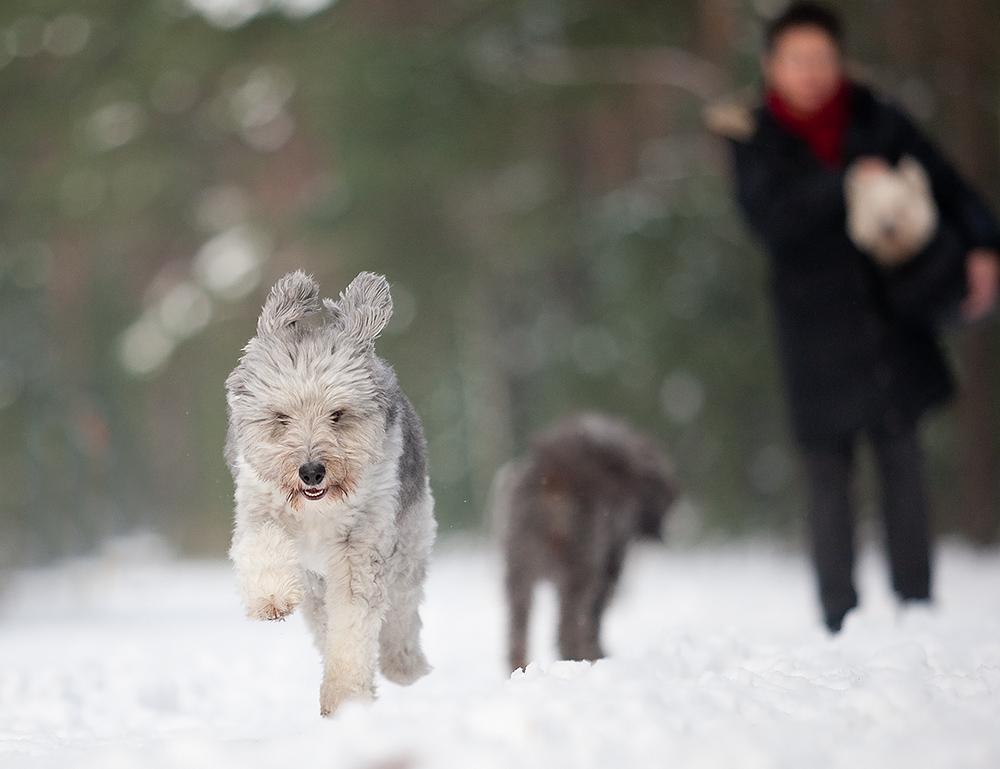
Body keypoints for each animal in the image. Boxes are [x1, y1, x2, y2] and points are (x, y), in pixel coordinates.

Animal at [226, 270, 434, 712]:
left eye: (337, 415)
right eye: (281, 417)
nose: (311, 472)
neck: (316, 512)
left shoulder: (361, 544)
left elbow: (354, 622)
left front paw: (346, 700)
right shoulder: (257, 505)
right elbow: (261, 545)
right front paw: (271, 598)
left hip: (408, 545)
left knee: (401, 613)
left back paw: (404, 667)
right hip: (314, 581)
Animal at [496, 414, 676, 672]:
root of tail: (554, 472)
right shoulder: (609, 566)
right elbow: (595, 616)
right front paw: (597, 653)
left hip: (518, 569)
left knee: (517, 628)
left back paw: (519, 665)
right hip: (581, 569)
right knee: (567, 627)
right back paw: (578, 658)